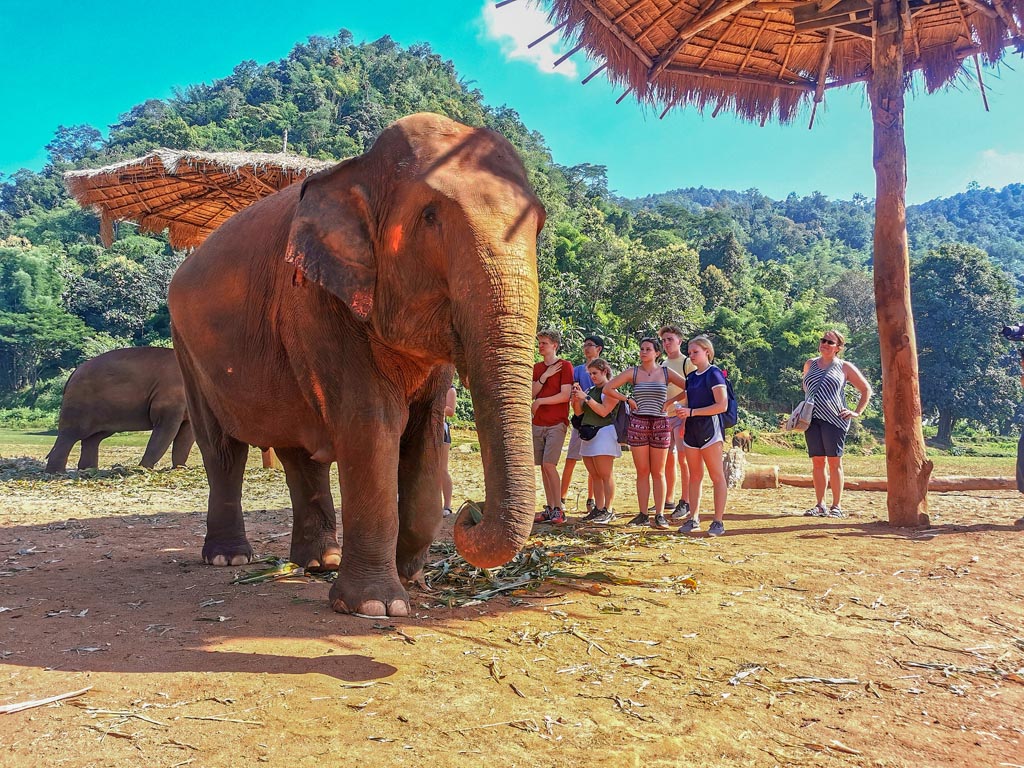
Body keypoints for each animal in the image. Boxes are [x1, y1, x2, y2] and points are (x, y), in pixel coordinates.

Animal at [45, 347, 194, 473]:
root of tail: (74, 372)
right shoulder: (169, 401)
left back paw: (88, 470)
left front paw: (182, 468)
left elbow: (186, 435)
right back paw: (56, 472)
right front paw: (143, 469)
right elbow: (166, 429)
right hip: (79, 404)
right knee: (70, 435)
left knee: (93, 439)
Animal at [168, 113, 545, 618]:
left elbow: (425, 432)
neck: (361, 169)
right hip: (186, 349)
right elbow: (371, 425)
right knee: (223, 448)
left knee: (298, 451)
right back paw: (230, 559)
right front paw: (376, 606)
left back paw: (319, 562)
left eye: (539, 227)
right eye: (430, 217)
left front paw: (411, 578)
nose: (471, 510)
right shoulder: (319, 300)